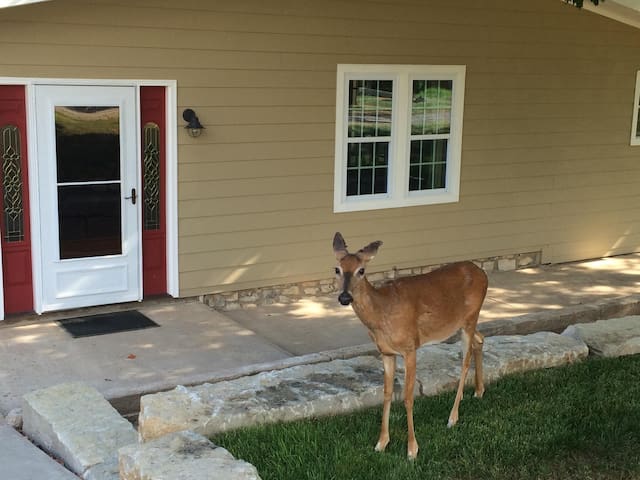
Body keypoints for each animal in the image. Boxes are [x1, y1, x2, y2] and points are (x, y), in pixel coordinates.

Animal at [332, 232, 488, 458]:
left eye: (361, 270)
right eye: (337, 269)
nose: (344, 297)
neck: (382, 313)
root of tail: (483, 273)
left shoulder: (410, 347)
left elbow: (407, 398)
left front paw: (412, 449)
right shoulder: (386, 352)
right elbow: (387, 394)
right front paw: (381, 443)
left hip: (470, 318)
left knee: (465, 362)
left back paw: (452, 417)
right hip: (464, 323)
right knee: (481, 339)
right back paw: (479, 391)